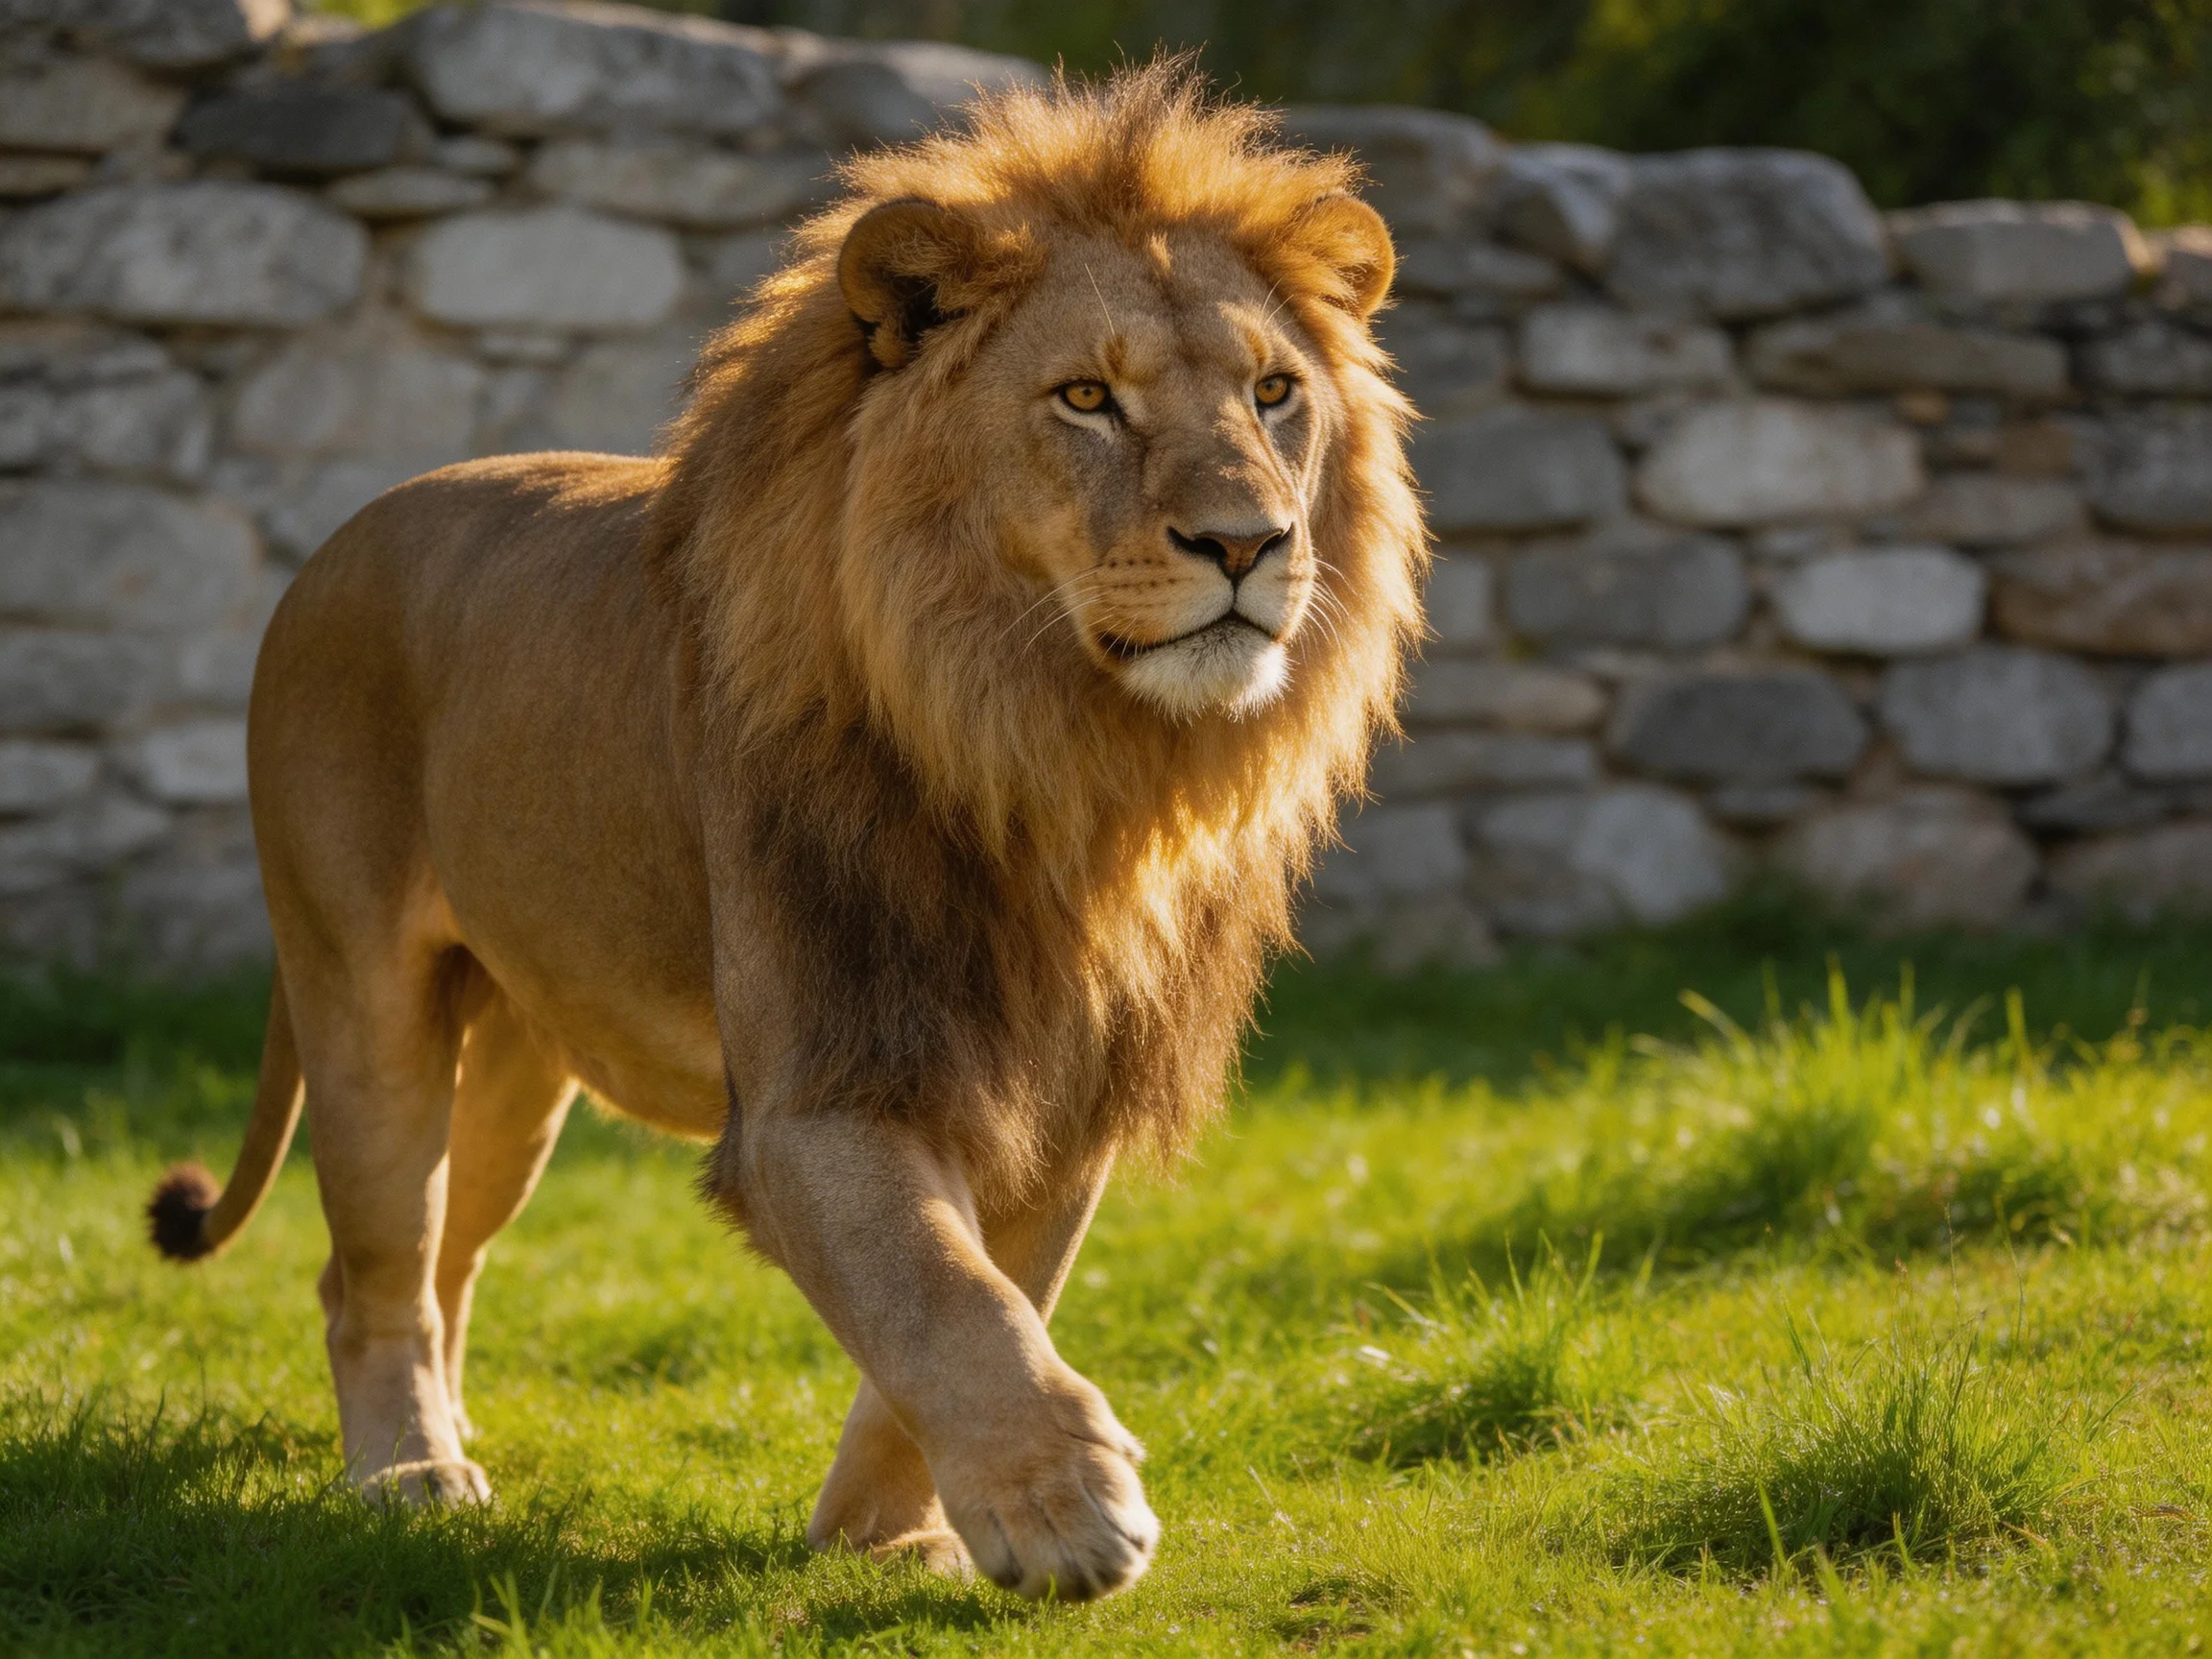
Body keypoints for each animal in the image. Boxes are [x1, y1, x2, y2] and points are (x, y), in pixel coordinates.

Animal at [142, 63, 1424, 1602]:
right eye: (1087, 398)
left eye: (1274, 392)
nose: (1247, 543)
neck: (1053, 757)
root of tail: (337, 540)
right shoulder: (819, 1084)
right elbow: (939, 1290)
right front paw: (1063, 1504)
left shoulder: (1058, 1096)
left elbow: (988, 1295)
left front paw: (894, 1536)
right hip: (365, 999)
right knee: (376, 1267)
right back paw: (407, 1474)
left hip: (515, 1063)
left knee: (448, 1261)